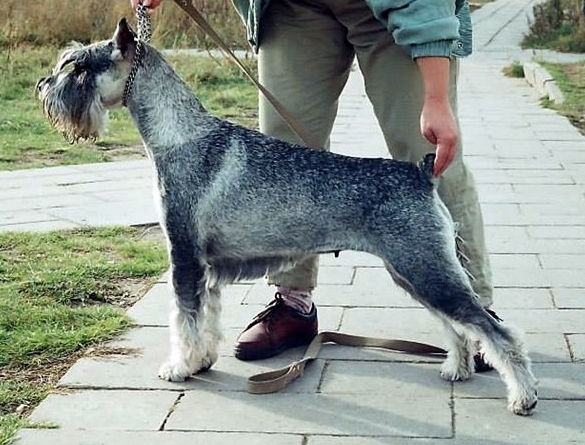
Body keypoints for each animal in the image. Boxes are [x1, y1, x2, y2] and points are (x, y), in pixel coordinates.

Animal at [37, 17, 540, 412]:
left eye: (79, 66)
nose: (43, 88)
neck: (178, 135)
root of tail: (421, 172)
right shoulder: (205, 268)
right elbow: (205, 320)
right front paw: (202, 360)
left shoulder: (183, 258)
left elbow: (184, 320)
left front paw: (178, 367)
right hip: (413, 272)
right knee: (457, 326)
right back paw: (456, 368)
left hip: (425, 267)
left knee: (495, 330)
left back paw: (522, 396)